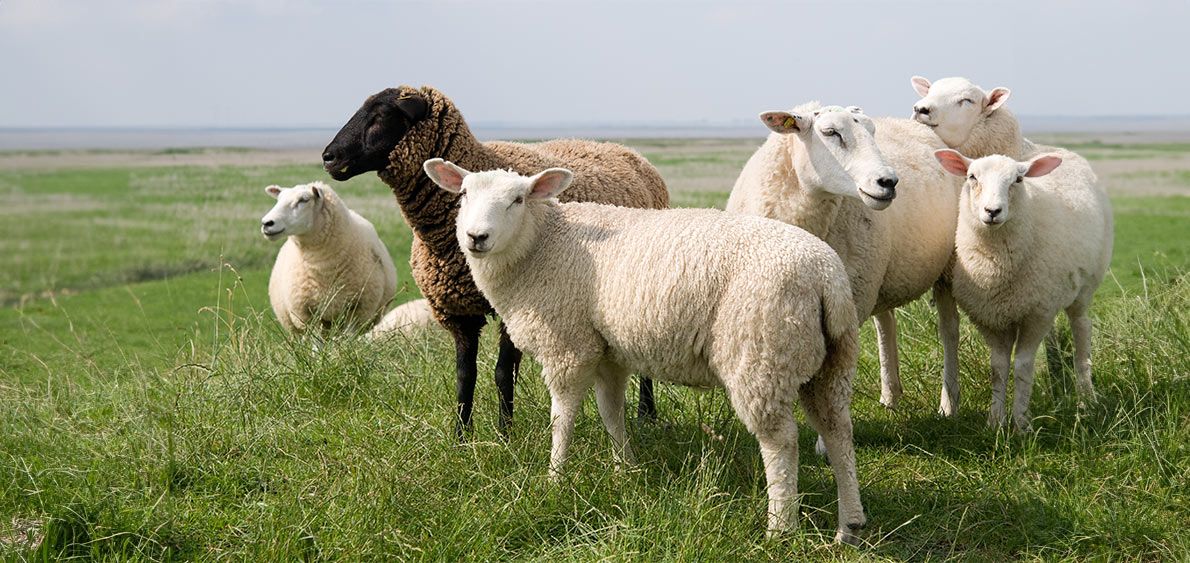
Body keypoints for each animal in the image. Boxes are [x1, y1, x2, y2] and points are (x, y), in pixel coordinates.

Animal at [262, 182, 397, 335]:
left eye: (304, 200)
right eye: (278, 199)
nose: (266, 223)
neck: (324, 269)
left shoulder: (358, 310)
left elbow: (349, 337)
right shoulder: (307, 314)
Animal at [321, 85, 671, 435]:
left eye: (381, 114)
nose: (328, 156)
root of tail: (627, 151)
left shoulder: (514, 305)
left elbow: (503, 372)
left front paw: (505, 434)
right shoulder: (458, 312)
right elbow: (465, 375)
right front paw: (461, 435)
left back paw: (647, 414)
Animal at [426, 158, 866, 545]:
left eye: (518, 199)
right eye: (463, 194)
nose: (476, 237)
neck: (542, 245)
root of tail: (826, 277)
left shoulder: (568, 345)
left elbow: (562, 419)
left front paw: (555, 478)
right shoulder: (608, 351)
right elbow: (611, 412)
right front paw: (625, 469)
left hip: (760, 355)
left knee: (781, 442)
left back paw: (779, 527)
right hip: (829, 359)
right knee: (838, 430)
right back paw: (850, 526)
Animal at [723, 101, 966, 416]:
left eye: (872, 132)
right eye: (831, 133)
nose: (889, 181)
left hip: (944, 266)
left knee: (949, 329)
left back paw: (948, 403)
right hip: (877, 273)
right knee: (886, 324)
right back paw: (890, 395)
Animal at [932, 148, 1109, 430]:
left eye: (1018, 179)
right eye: (972, 177)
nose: (992, 211)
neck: (996, 266)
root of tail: (1064, 151)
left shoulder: (1036, 315)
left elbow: (1023, 367)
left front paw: (1021, 423)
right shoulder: (990, 317)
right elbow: (998, 368)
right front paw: (995, 422)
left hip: (1083, 289)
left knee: (1082, 329)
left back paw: (1086, 397)